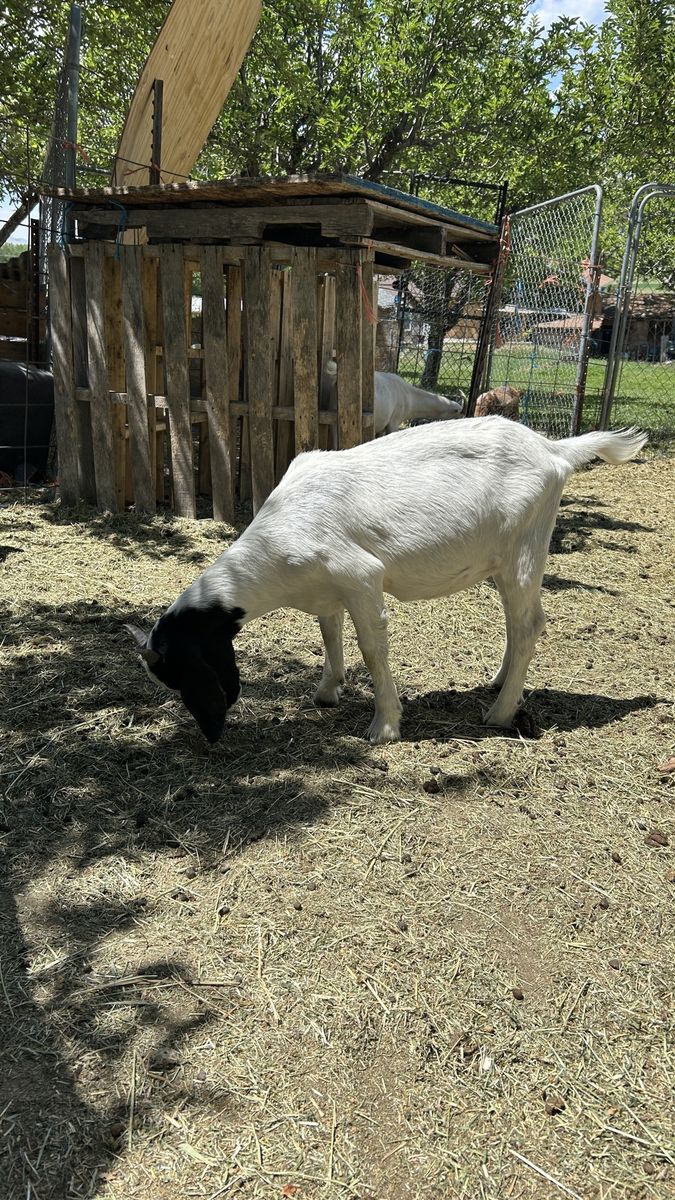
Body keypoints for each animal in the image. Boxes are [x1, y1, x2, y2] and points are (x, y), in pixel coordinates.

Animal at [127, 418, 647, 746]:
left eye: (180, 676)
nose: (210, 733)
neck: (279, 540)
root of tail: (555, 450)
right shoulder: (328, 589)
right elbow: (329, 632)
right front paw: (327, 690)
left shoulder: (359, 576)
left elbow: (372, 648)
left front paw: (385, 726)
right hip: (501, 563)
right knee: (516, 627)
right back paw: (498, 685)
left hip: (525, 549)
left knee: (529, 625)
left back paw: (499, 714)